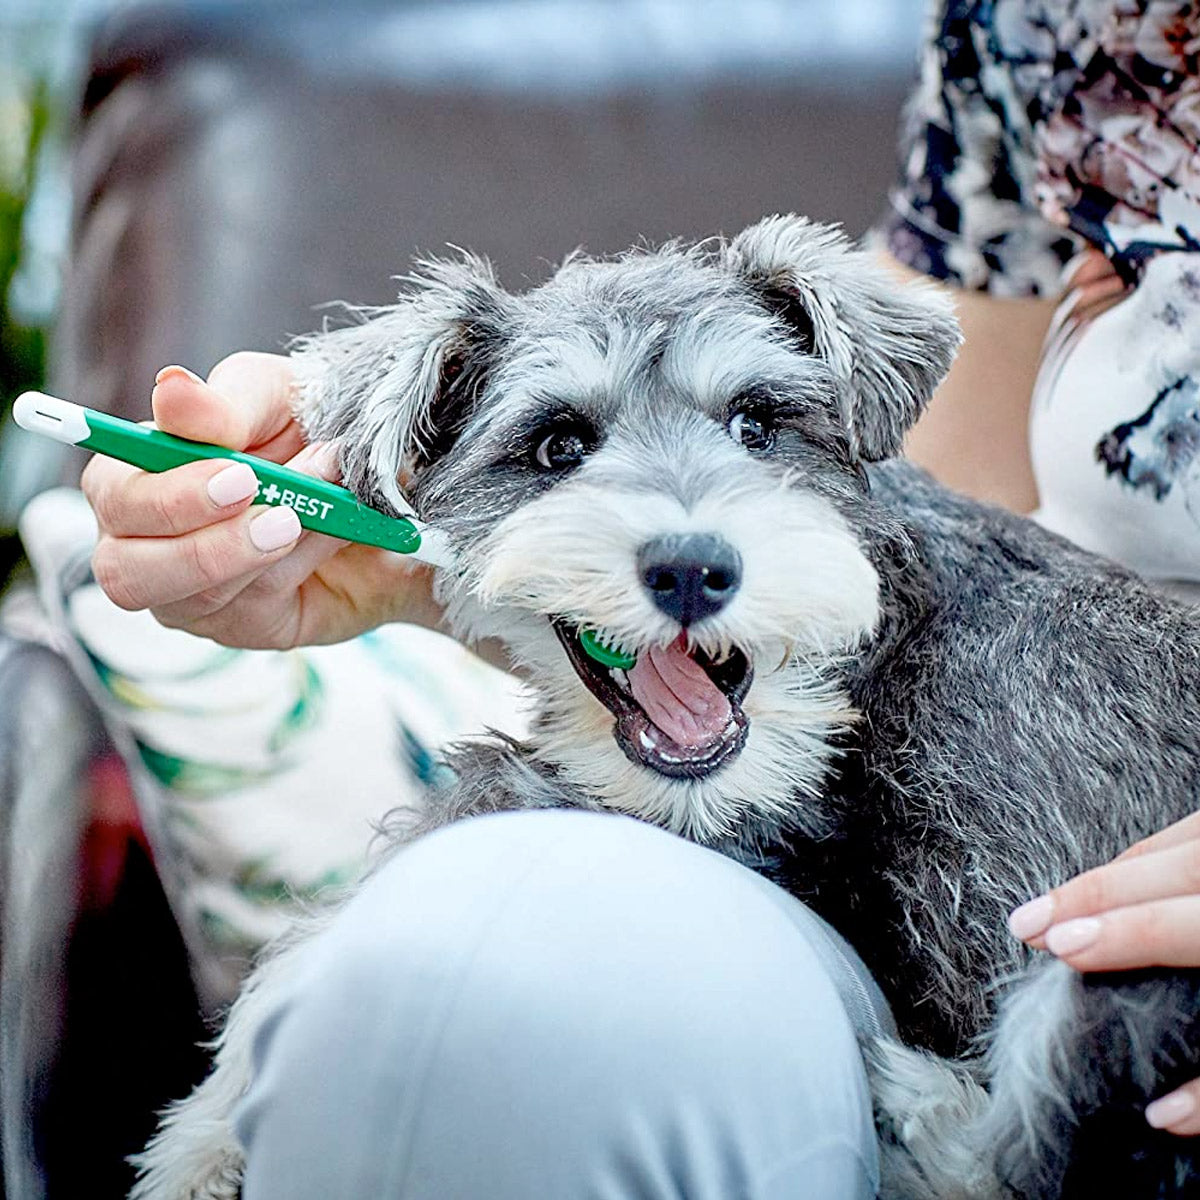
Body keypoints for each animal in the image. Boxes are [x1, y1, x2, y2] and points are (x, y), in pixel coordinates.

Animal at [129, 218, 1200, 1200]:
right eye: (558, 445)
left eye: (758, 425)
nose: (693, 567)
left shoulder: (806, 841)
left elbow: (443, 818)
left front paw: (202, 1134)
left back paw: (912, 1098)